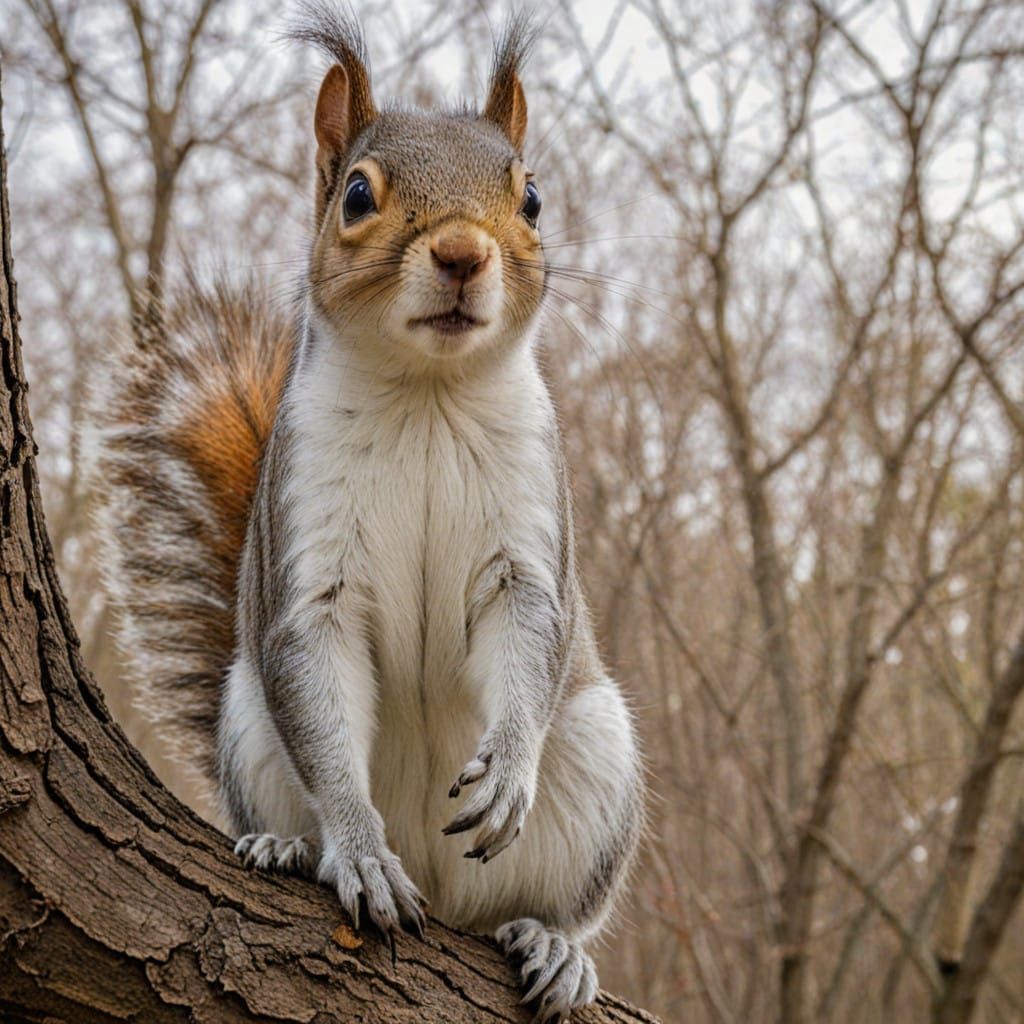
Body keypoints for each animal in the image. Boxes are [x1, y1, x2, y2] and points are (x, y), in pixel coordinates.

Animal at [93, 7, 643, 1020]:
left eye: (533, 199)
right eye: (355, 195)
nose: (464, 253)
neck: (428, 392)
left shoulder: (531, 528)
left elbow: (534, 625)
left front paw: (508, 768)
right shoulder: (308, 544)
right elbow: (317, 684)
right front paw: (355, 845)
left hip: (598, 759)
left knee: (549, 904)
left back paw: (555, 946)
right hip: (249, 726)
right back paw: (287, 847)